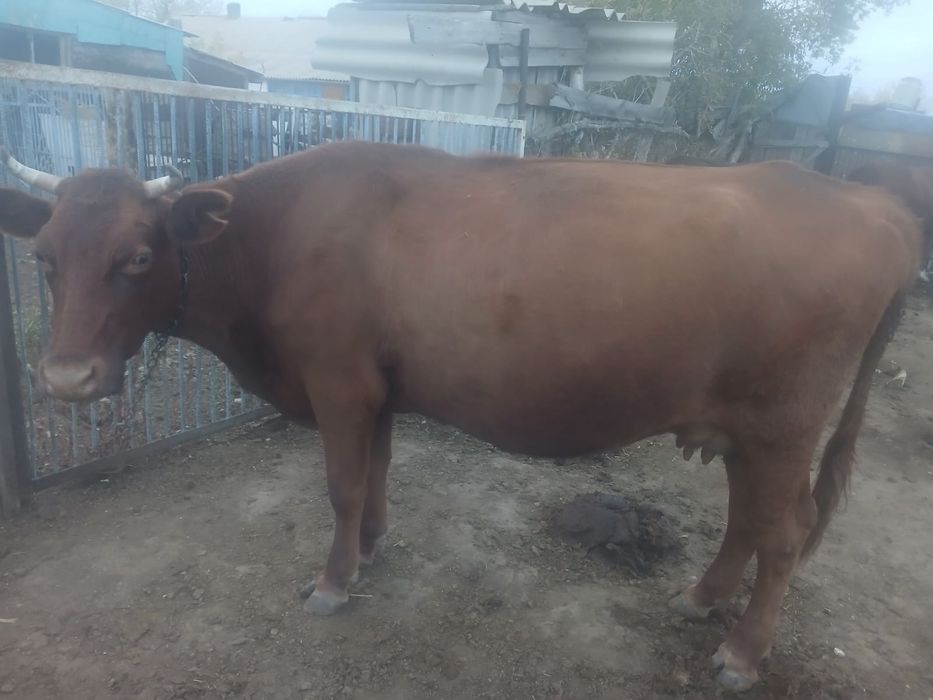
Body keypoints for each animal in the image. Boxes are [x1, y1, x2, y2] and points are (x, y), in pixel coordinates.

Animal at [0, 142, 929, 691]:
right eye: (43, 258)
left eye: (138, 256)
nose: (67, 377)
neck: (276, 234)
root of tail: (868, 201)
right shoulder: (375, 388)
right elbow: (374, 473)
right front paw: (370, 548)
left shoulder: (337, 382)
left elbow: (340, 486)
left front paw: (332, 582)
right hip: (744, 429)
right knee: (746, 519)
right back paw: (700, 600)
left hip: (782, 425)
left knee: (784, 531)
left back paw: (740, 652)